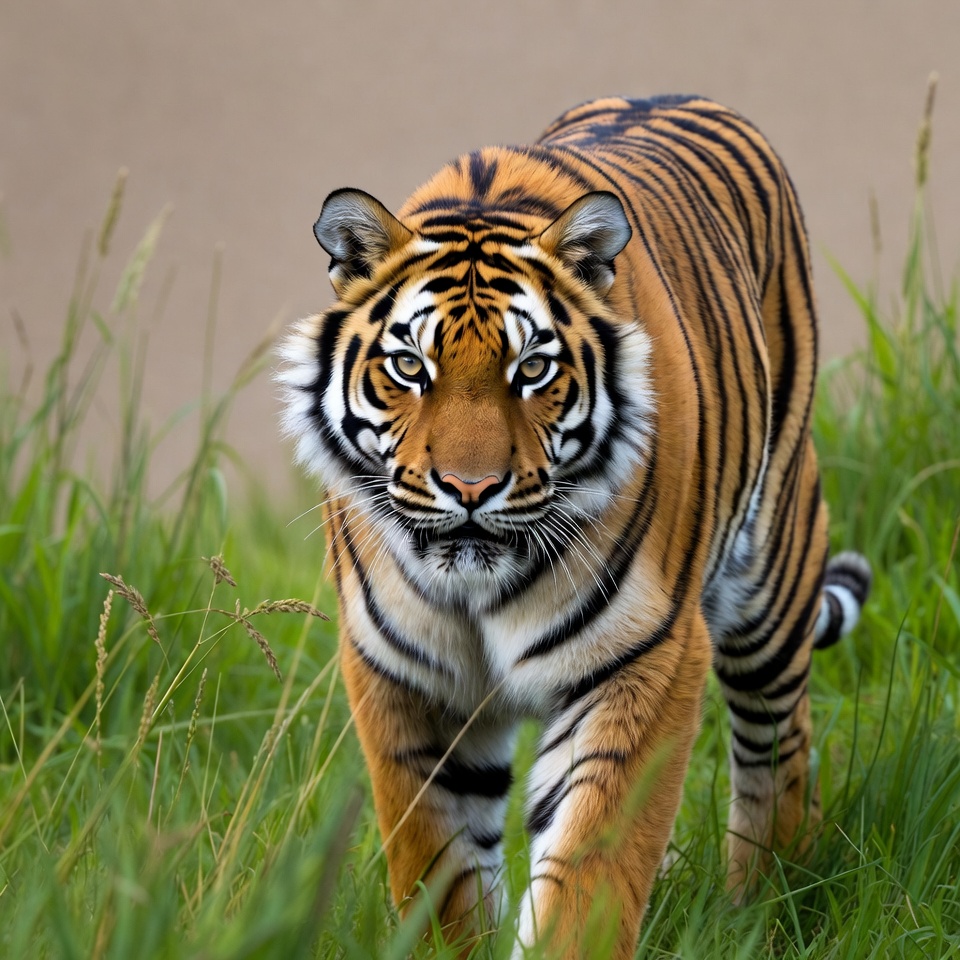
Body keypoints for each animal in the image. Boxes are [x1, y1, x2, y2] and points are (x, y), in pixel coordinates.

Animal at [278, 94, 871, 959]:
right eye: (410, 368)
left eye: (533, 370)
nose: (470, 489)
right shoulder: (405, 678)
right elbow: (436, 873)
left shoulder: (643, 657)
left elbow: (589, 869)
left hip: (774, 574)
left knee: (778, 750)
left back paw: (763, 908)